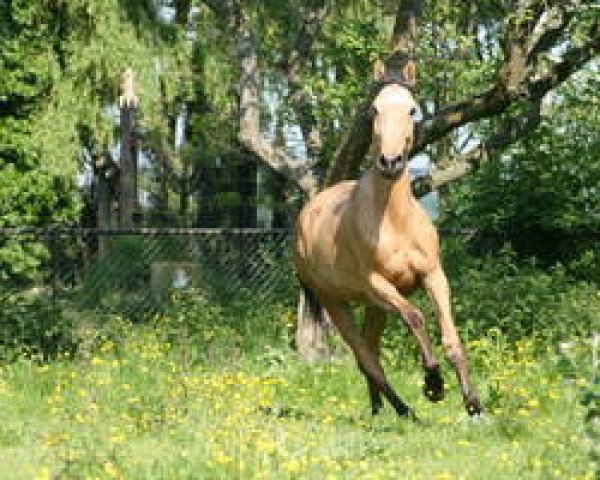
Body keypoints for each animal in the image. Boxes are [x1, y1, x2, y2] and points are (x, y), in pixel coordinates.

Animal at [296, 60, 482, 420]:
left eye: (412, 109)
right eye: (374, 109)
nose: (390, 162)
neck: (395, 221)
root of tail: (306, 215)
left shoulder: (433, 276)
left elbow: (451, 340)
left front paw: (474, 405)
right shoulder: (378, 285)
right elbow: (415, 317)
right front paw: (434, 385)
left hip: (373, 307)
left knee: (371, 349)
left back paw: (379, 409)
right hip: (335, 302)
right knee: (365, 357)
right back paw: (406, 411)